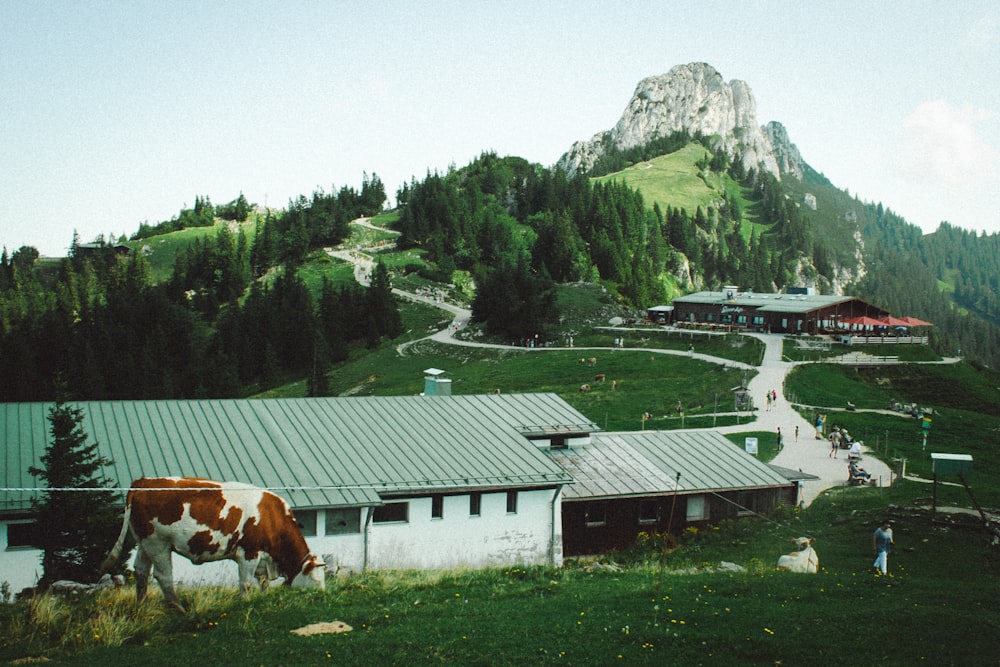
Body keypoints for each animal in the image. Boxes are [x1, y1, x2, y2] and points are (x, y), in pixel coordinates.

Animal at [100, 474, 324, 612]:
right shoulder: (249, 553)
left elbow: (263, 582)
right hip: (158, 543)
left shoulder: (262, 558)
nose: (323, 596)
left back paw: (142, 603)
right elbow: (246, 583)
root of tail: (144, 481)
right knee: (163, 576)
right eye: (316, 579)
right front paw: (246, 603)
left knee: (141, 570)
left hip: (144, 542)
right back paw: (179, 608)